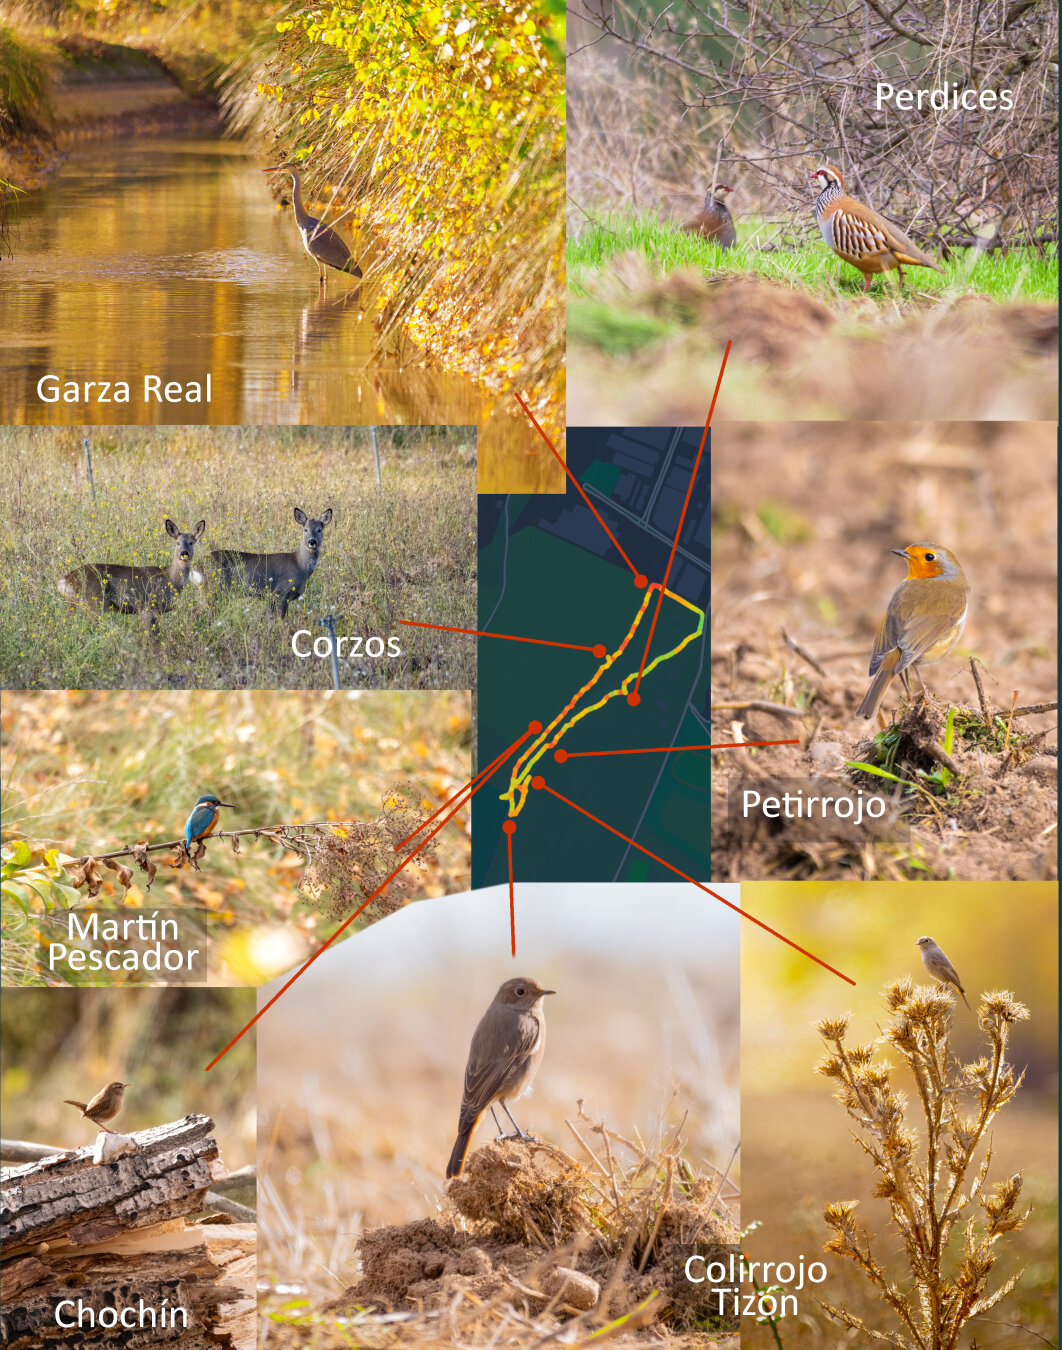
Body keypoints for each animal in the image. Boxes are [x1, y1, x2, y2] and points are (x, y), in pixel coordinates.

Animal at [58, 519, 206, 617]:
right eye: (177, 542)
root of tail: (65, 580)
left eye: (192, 542)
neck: (171, 579)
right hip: (94, 602)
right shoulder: (152, 606)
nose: (184, 553)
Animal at [204, 507, 333, 618]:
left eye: (319, 530)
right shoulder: (280, 593)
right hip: (216, 589)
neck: (299, 565)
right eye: (305, 529)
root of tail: (200, 563)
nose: (312, 541)